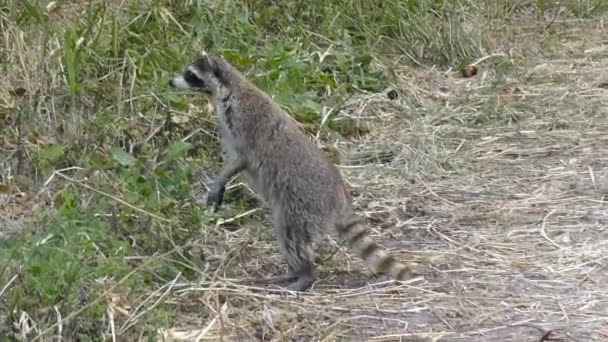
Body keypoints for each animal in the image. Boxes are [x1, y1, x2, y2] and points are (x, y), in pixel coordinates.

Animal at [169, 53, 410, 292]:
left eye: (190, 75)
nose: (171, 82)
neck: (228, 91)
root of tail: (340, 193)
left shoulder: (245, 122)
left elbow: (241, 159)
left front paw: (220, 180)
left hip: (304, 202)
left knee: (291, 233)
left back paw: (304, 274)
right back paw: (293, 272)